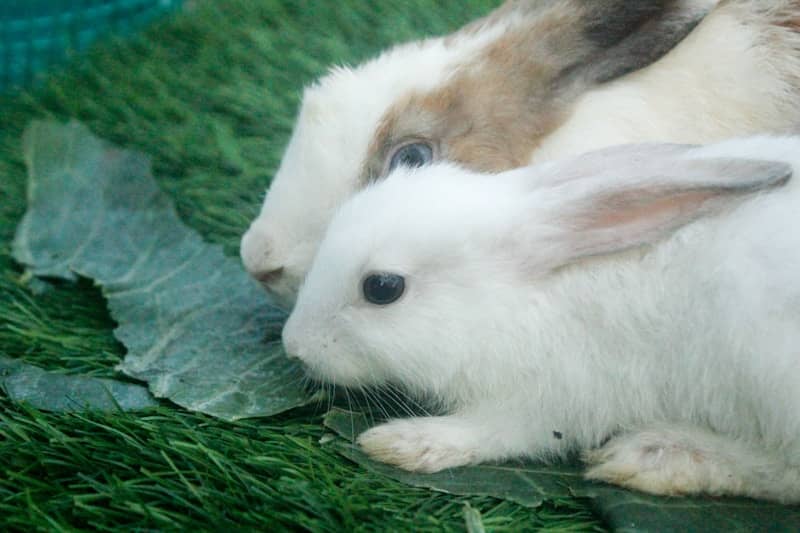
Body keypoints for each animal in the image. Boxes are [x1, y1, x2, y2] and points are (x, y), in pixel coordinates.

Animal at [282, 136, 800, 503]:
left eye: (383, 288)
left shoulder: (554, 397)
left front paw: (405, 443)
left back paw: (658, 455)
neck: (517, 299)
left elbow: (496, 432)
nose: (294, 345)